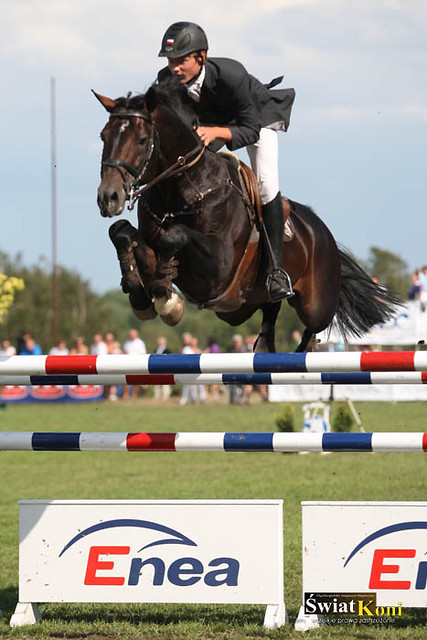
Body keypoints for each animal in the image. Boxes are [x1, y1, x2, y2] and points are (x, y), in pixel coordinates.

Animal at [94, 82, 402, 352]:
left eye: (141, 140)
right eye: (103, 136)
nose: (109, 197)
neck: (182, 191)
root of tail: (323, 232)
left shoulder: (217, 269)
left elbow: (175, 236)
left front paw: (166, 299)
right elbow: (122, 232)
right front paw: (139, 291)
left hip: (316, 304)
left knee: (314, 326)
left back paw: (303, 348)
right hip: (245, 306)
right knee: (270, 319)